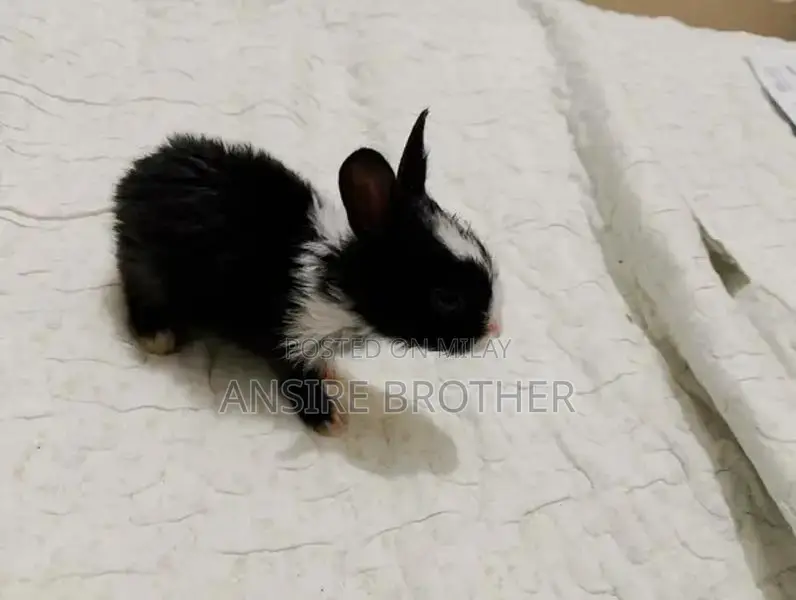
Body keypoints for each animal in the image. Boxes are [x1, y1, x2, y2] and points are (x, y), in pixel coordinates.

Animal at [111, 109, 502, 435]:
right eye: (447, 298)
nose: (495, 329)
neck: (339, 276)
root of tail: (132, 180)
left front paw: (333, 376)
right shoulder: (289, 337)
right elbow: (297, 380)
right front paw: (329, 420)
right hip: (146, 269)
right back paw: (158, 338)